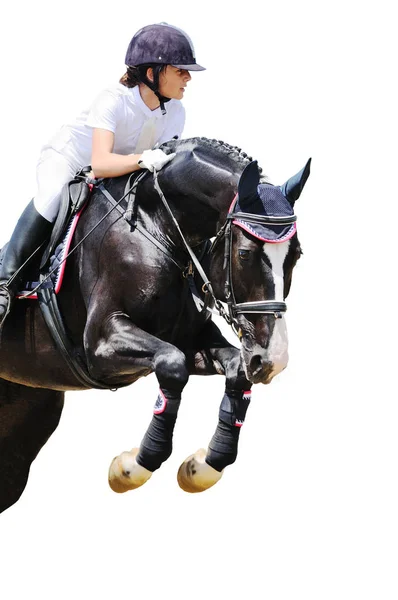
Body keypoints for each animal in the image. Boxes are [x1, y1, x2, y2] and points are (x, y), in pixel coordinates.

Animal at [0, 137, 310, 510]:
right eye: (245, 253)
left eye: (296, 255)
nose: (272, 360)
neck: (159, 228)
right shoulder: (100, 345)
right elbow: (172, 365)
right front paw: (131, 467)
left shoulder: (193, 340)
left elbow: (234, 368)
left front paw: (204, 466)